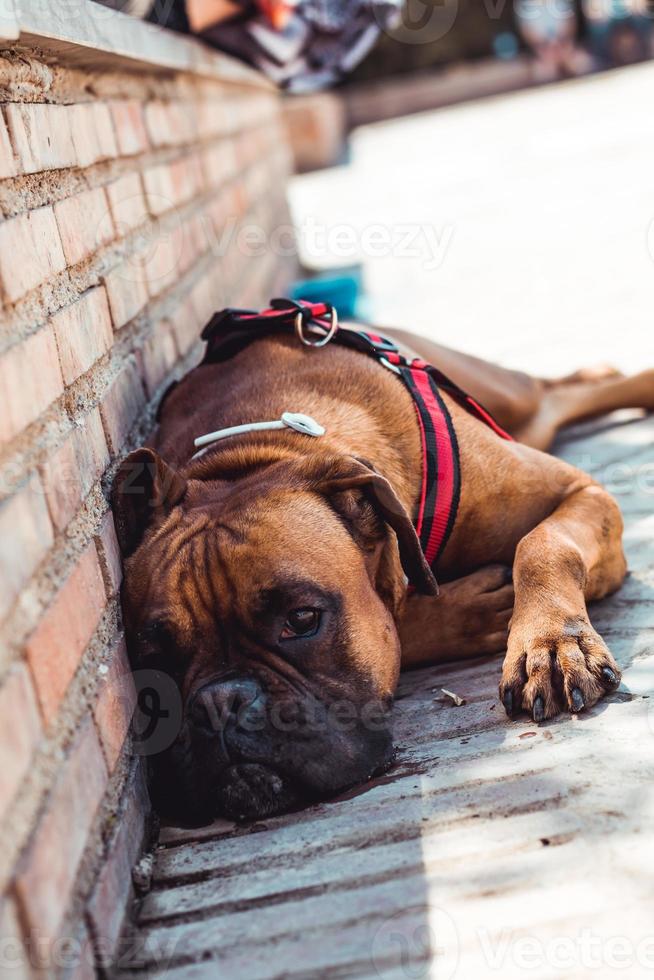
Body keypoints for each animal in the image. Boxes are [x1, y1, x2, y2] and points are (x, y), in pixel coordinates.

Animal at [114, 326, 654, 824]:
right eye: (153, 658)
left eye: (302, 619)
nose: (220, 701)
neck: (250, 456)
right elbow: (402, 615)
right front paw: (472, 610)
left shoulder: (578, 491)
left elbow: (542, 546)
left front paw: (551, 644)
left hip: (511, 397)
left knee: (561, 389)